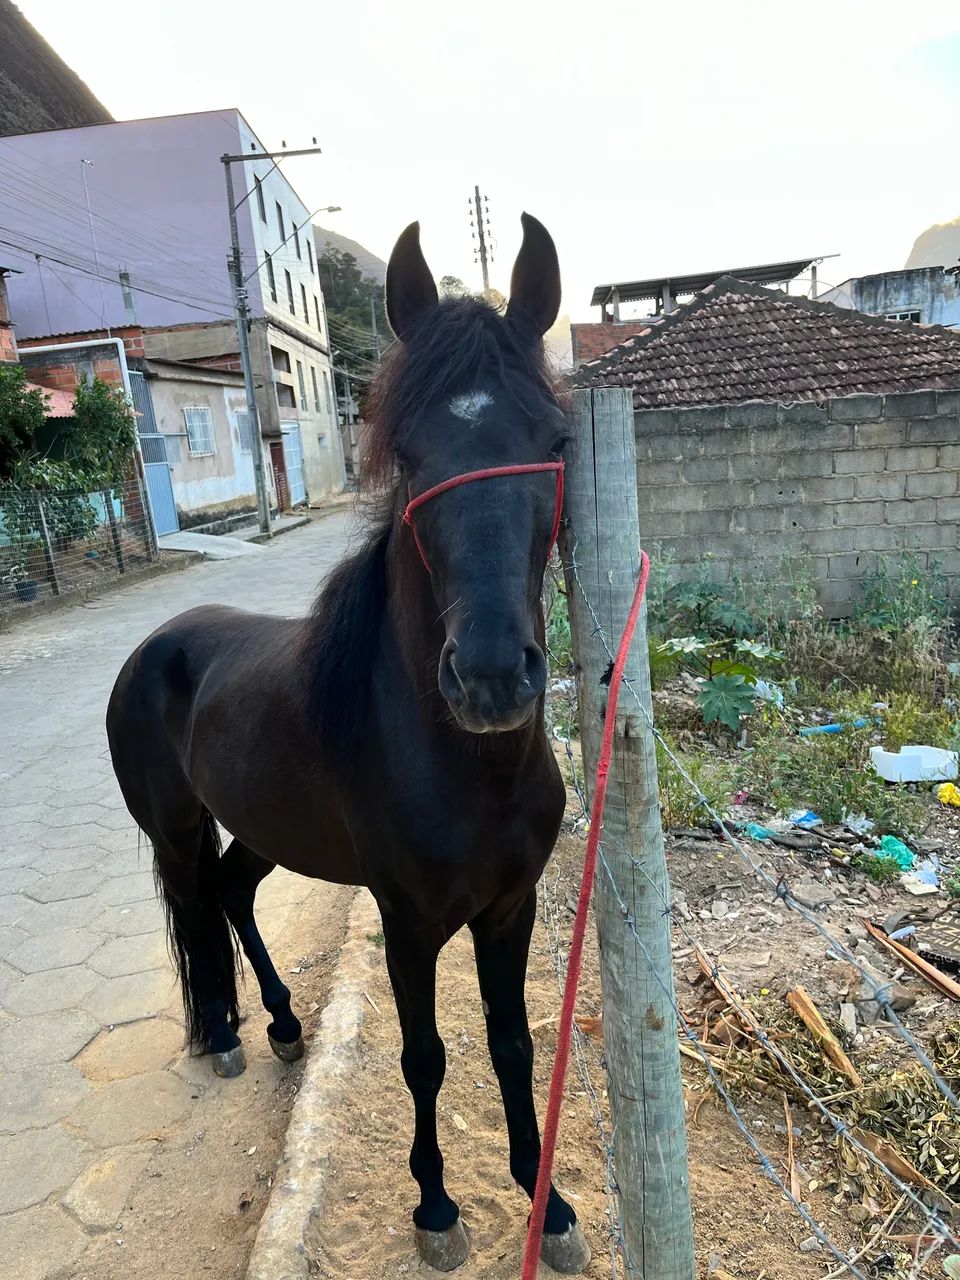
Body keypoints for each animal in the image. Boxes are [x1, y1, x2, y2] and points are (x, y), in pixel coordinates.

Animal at [106, 213, 590, 1274]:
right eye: (407, 453)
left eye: (555, 440)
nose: (490, 676)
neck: (474, 770)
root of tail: (153, 646)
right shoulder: (406, 921)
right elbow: (425, 1056)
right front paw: (437, 1208)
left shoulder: (511, 909)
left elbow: (512, 1044)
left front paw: (550, 1206)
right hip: (175, 830)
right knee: (196, 909)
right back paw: (224, 1034)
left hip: (260, 829)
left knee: (232, 893)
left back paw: (285, 1023)